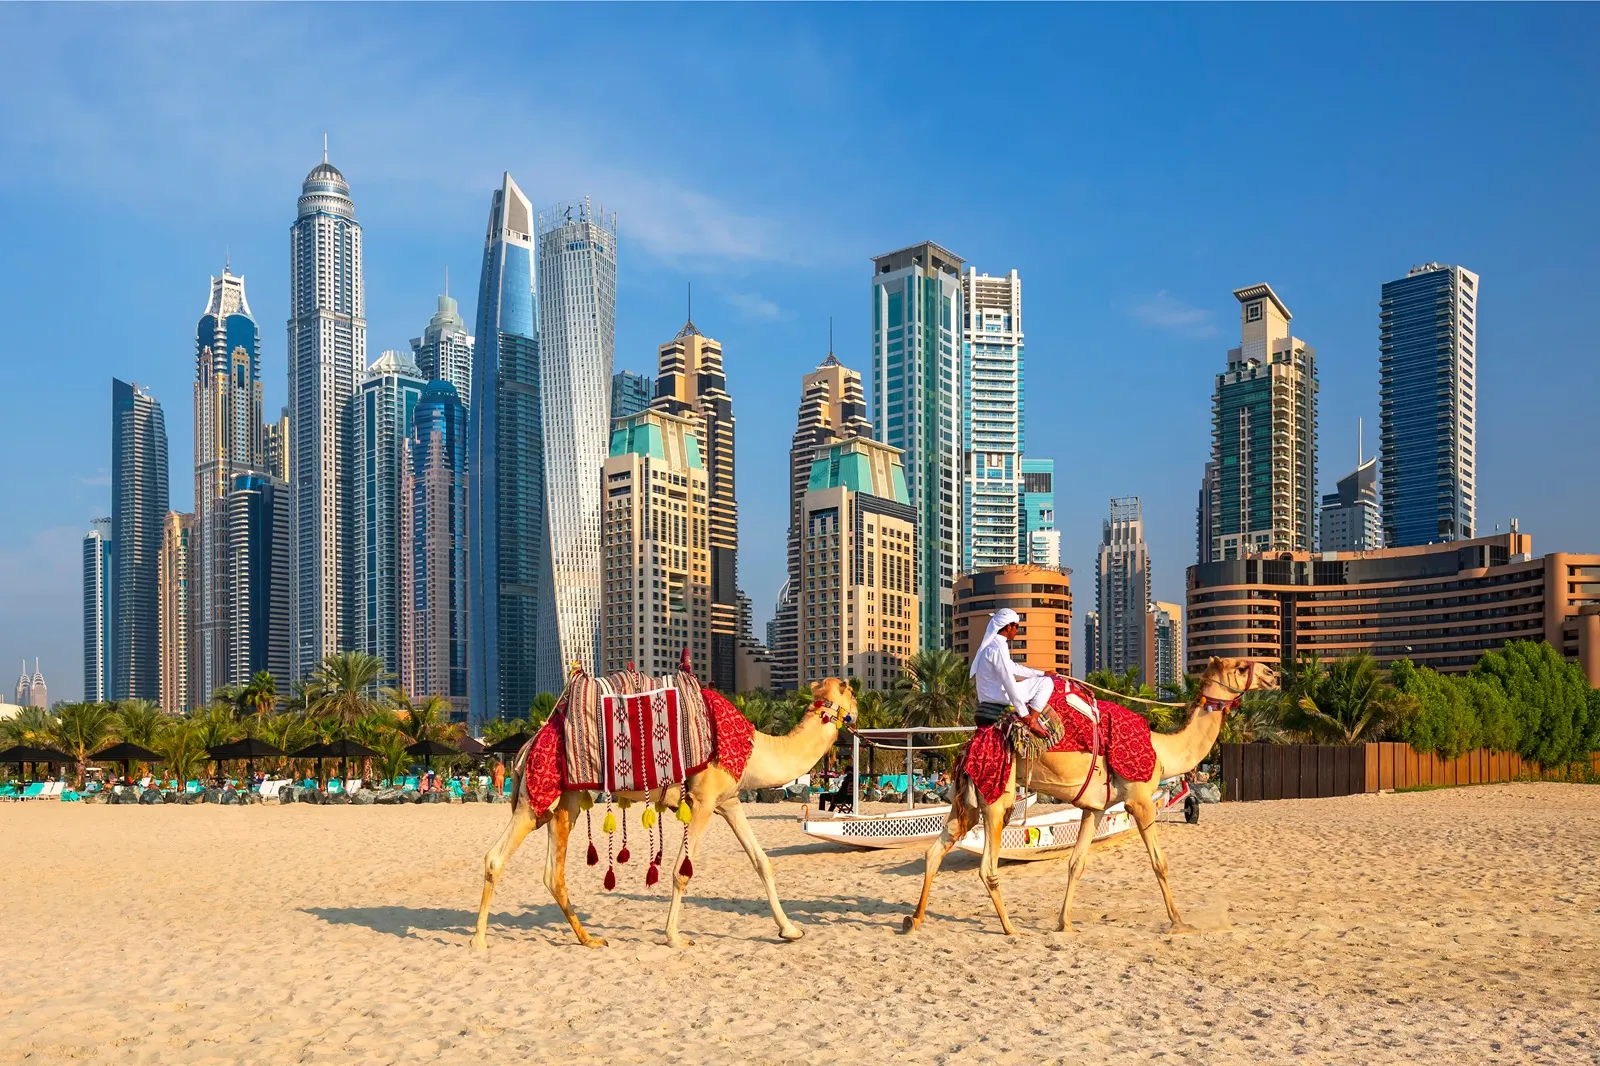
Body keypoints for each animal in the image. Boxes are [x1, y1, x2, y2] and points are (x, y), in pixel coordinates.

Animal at [472, 678, 857, 950]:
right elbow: (680, 871)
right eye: (851, 690)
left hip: (563, 803)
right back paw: (479, 940)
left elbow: (762, 861)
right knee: (496, 857)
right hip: (537, 798)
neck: (754, 751)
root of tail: (528, 744)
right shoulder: (703, 801)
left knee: (553, 873)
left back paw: (590, 939)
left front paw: (790, 930)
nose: (860, 709)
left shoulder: (729, 802)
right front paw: (675, 937)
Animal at [903, 656, 1279, 937]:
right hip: (998, 798)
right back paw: (1010, 928)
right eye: (1241, 667)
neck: (1162, 751)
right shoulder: (1140, 800)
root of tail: (968, 748)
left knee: (935, 851)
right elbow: (1159, 863)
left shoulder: (1094, 807)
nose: (1273, 674)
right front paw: (1179, 923)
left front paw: (1064, 923)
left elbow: (1076, 863)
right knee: (987, 867)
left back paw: (914, 919)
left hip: (964, 802)